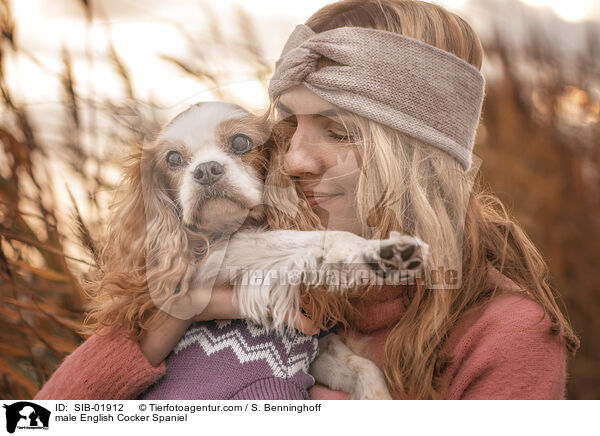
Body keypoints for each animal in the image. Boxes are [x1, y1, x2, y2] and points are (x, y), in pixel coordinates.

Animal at [129, 101, 428, 398]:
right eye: (173, 159)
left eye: (240, 142)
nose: (206, 169)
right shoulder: (208, 259)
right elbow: (297, 239)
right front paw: (369, 249)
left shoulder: (315, 347)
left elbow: (362, 366)